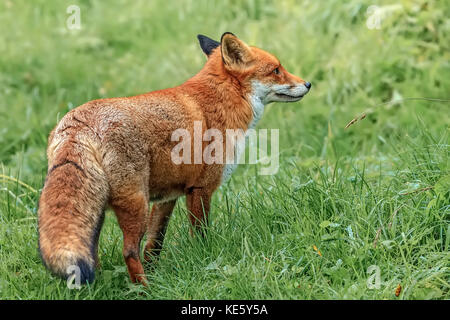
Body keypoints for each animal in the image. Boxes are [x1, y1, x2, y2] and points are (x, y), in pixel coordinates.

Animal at [37, 33, 310, 284]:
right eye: (276, 70)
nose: (307, 83)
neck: (221, 101)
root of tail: (78, 123)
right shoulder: (201, 189)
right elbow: (201, 235)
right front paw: (203, 259)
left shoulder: (167, 197)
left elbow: (155, 244)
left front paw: (157, 273)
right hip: (135, 204)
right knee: (129, 252)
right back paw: (144, 289)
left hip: (99, 213)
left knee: (96, 255)